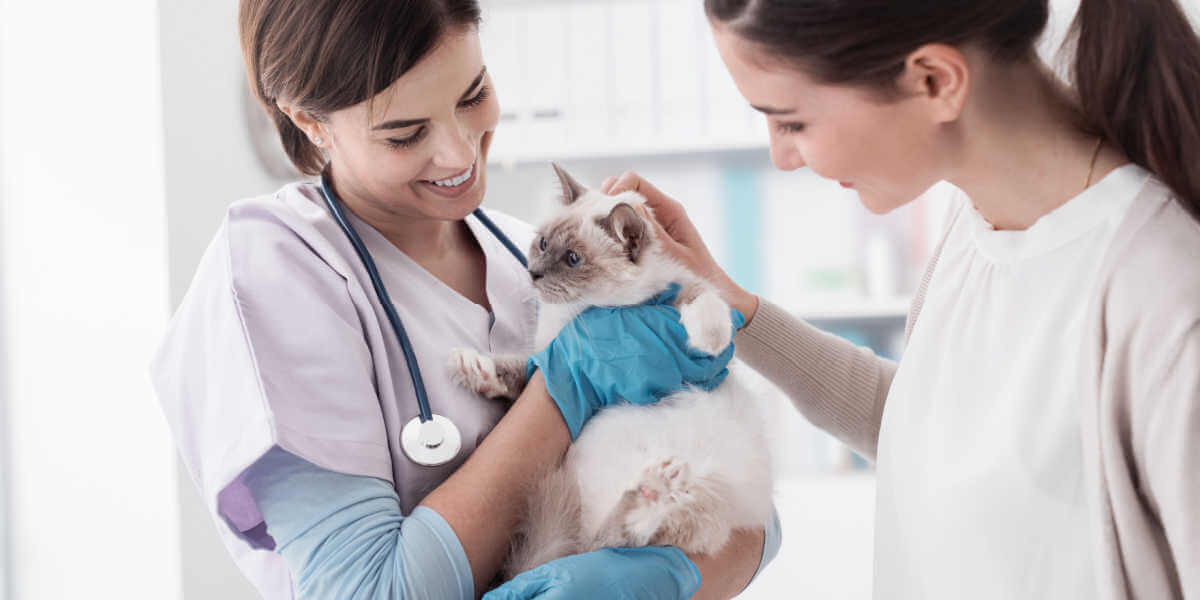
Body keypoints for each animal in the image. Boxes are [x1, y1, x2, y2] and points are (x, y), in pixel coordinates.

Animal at [446, 163, 772, 576]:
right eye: (543, 244)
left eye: (573, 259)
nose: (533, 273)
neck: (587, 313)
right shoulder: (549, 367)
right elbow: (511, 370)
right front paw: (471, 365)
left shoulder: (679, 290)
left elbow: (705, 299)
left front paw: (708, 342)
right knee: (610, 543)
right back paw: (650, 494)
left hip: (707, 501)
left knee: (628, 540)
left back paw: (654, 493)